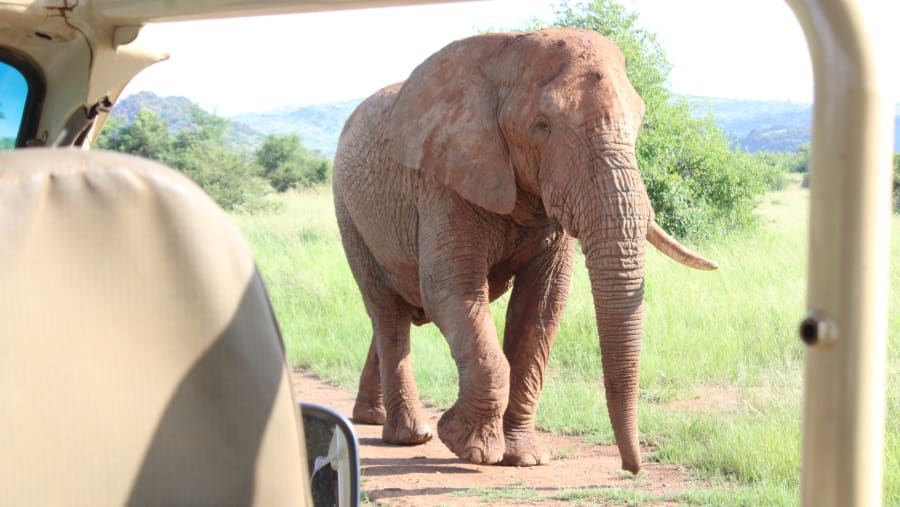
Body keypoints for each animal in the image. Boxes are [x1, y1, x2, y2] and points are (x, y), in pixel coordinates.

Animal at [332, 27, 717, 474]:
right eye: (541, 125)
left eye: (640, 122)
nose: (632, 468)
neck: (506, 48)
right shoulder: (442, 181)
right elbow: (451, 291)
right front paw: (469, 446)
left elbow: (542, 305)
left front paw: (524, 458)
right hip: (349, 213)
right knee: (388, 314)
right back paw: (412, 435)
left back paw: (370, 418)